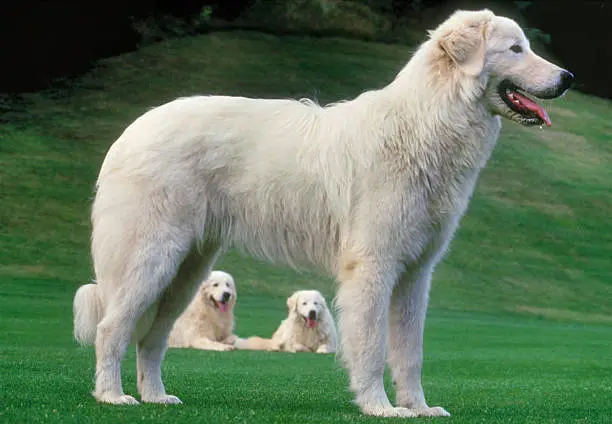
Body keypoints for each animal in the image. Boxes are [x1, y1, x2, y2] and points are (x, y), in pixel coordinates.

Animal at [74, 8, 572, 420]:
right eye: (516, 49)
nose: (567, 77)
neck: (426, 123)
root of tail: (131, 131)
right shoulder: (372, 269)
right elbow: (371, 347)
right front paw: (380, 407)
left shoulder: (416, 274)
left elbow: (410, 353)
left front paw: (419, 408)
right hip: (151, 260)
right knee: (111, 328)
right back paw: (113, 397)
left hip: (187, 272)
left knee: (151, 338)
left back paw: (156, 397)